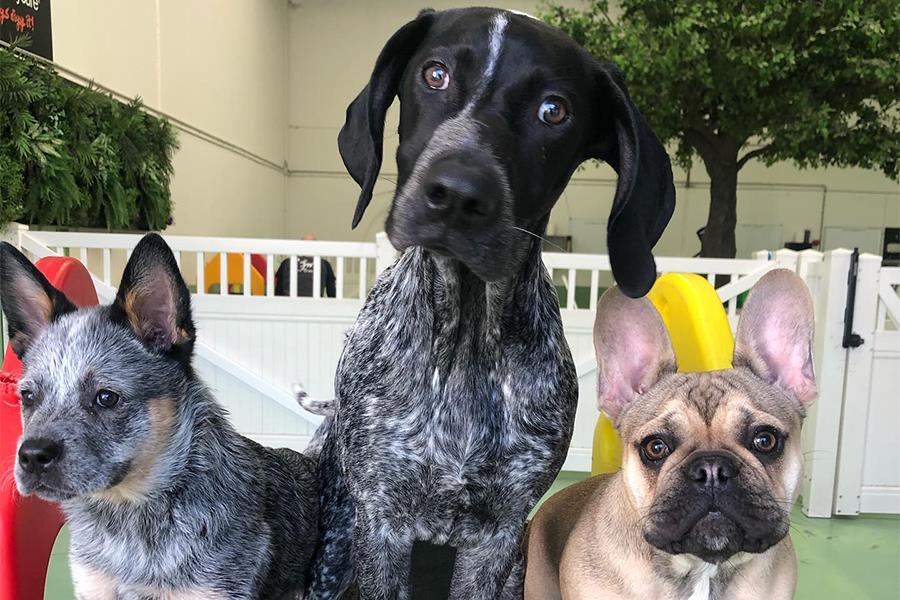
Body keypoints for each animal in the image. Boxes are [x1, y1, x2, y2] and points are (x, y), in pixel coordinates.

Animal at [310, 5, 676, 600]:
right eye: (434, 74)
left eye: (554, 110)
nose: (458, 193)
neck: (467, 335)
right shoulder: (381, 521)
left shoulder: (498, 535)